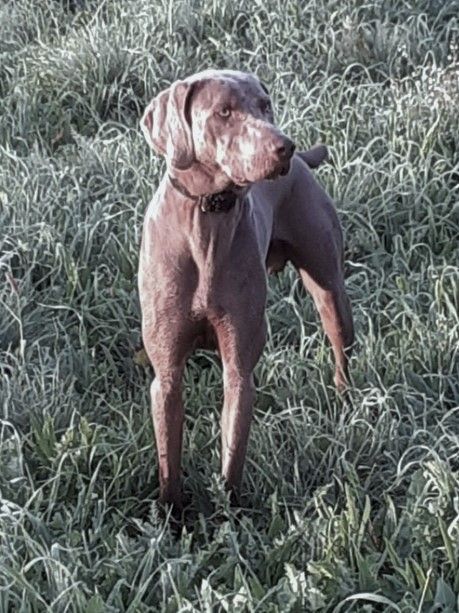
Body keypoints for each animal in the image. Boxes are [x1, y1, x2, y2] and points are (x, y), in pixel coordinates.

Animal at [138, 69, 354, 506]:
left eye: (264, 105)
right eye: (223, 111)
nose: (285, 146)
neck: (207, 218)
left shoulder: (239, 368)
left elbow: (232, 454)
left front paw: (228, 512)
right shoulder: (166, 373)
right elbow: (170, 462)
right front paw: (171, 517)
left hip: (330, 290)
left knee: (341, 346)